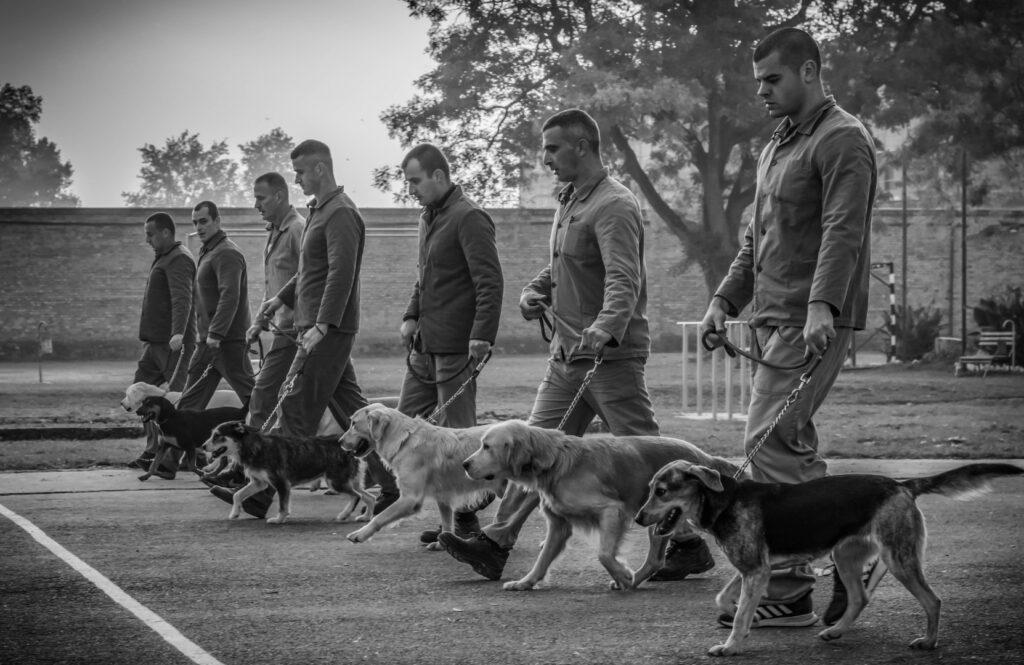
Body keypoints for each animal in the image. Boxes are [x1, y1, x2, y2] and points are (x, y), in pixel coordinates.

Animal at [634, 459, 1019, 655]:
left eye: (662, 491)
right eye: (650, 489)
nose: (637, 518)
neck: (723, 500)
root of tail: (902, 484)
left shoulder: (755, 571)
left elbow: (741, 612)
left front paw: (731, 646)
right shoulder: (753, 570)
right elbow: (727, 599)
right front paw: (742, 621)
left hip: (899, 558)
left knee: (933, 600)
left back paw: (928, 641)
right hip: (846, 556)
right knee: (860, 597)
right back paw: (836, 631)